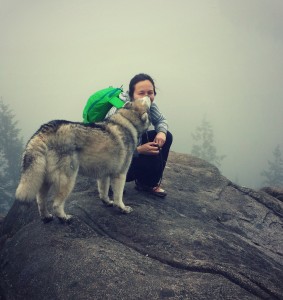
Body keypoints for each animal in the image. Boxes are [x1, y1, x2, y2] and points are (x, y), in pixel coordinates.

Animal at [15, 97, 153, 221]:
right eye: (143, 100)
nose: (149, 95)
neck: (127, 121)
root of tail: (43, 131)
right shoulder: (120, 174)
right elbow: (118, 196)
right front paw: (123, 208)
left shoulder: (104, 175)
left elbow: (103, 191)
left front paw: (107, 202)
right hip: (68, 179)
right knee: (56, 204)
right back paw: (64, 218)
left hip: (44, 179)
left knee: (40, 200)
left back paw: (46, 217)